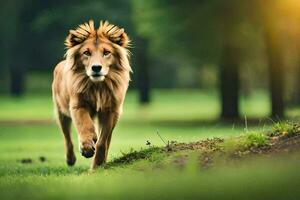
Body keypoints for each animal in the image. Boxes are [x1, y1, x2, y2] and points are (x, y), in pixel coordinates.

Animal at [51, 20, 131, 170]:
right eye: (86, 53)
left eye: (106, 52)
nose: (96, 68)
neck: (98, 87)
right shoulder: (78, 106)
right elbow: (84, 125)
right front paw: (87, 148)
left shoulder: (111, 111)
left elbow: (102, 141)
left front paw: (96, 165)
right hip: (61, 112)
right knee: (67, 138)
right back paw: (71, 159)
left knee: (106, 140)